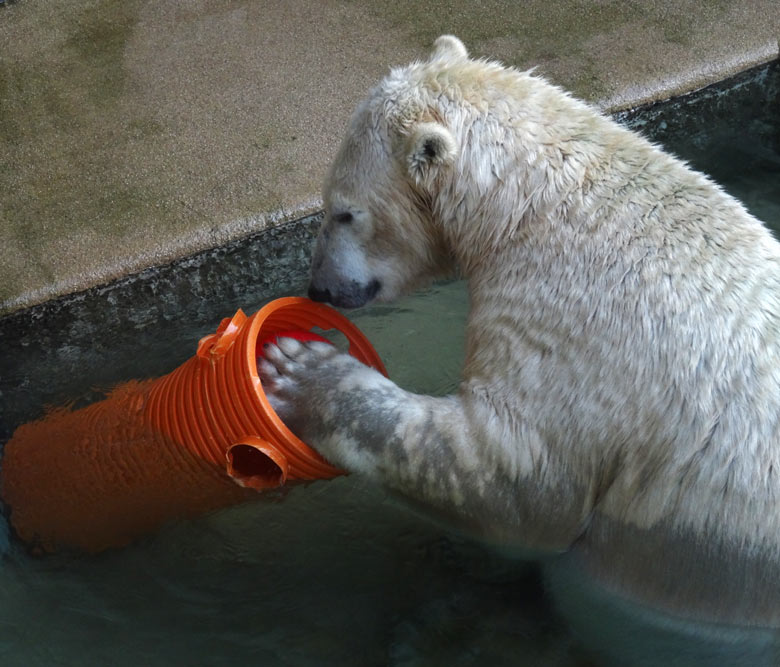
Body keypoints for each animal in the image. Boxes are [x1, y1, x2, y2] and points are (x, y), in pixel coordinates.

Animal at [260, 37, 780, 667]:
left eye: (343, 211)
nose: (320, 289)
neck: (542, 202)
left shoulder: (580, 321)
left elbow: (517, 478)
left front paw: (299, 371)